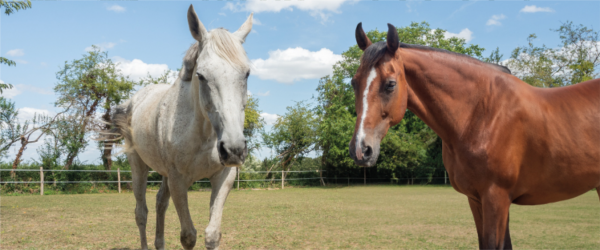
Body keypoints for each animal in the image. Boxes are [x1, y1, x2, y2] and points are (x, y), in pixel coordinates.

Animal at [109, 4, 252, 249]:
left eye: (247, 73)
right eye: (201, 75)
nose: (234, 149)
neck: (204, 135)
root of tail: (133, 102)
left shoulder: (224, 176)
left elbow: (212, 234)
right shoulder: (178, 181)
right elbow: (188, 236)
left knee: (160, 203)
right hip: (138, 166)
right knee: (141, 213)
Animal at [346, 22, 600, 249]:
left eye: (390, 84)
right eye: (354, 82)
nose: (361, 149)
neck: (481, 114)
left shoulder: (496, 199)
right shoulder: (477, 200)